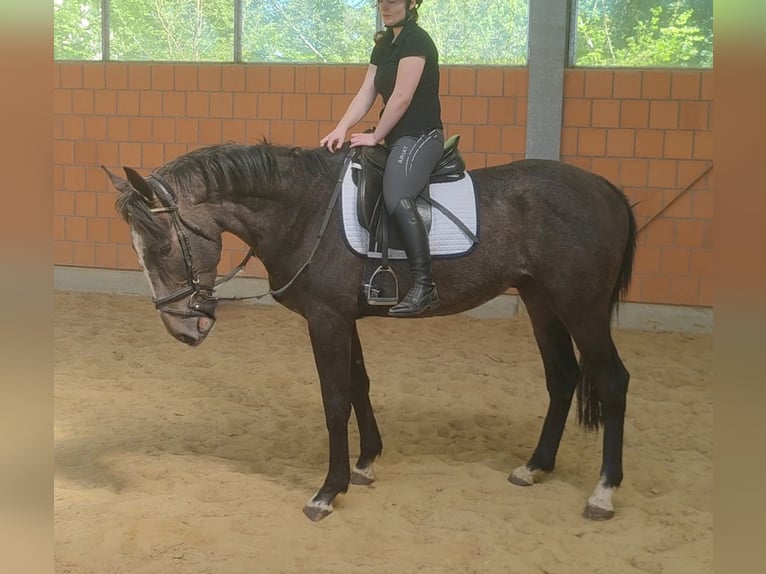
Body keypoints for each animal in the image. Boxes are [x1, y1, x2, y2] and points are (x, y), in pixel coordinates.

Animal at [104, 140, 637, 522]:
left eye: (162, 248)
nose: (184, 329)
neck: (303, 211)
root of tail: (604, 188)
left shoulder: (326, 320)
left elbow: (335, 400)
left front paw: (327, 491)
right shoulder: (344, 317)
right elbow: (360, 384)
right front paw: (365, 464)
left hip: (581, 307)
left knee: (612, 381)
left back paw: (603, 493)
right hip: (541, 300)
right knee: (562, 376)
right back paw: (534, 466)